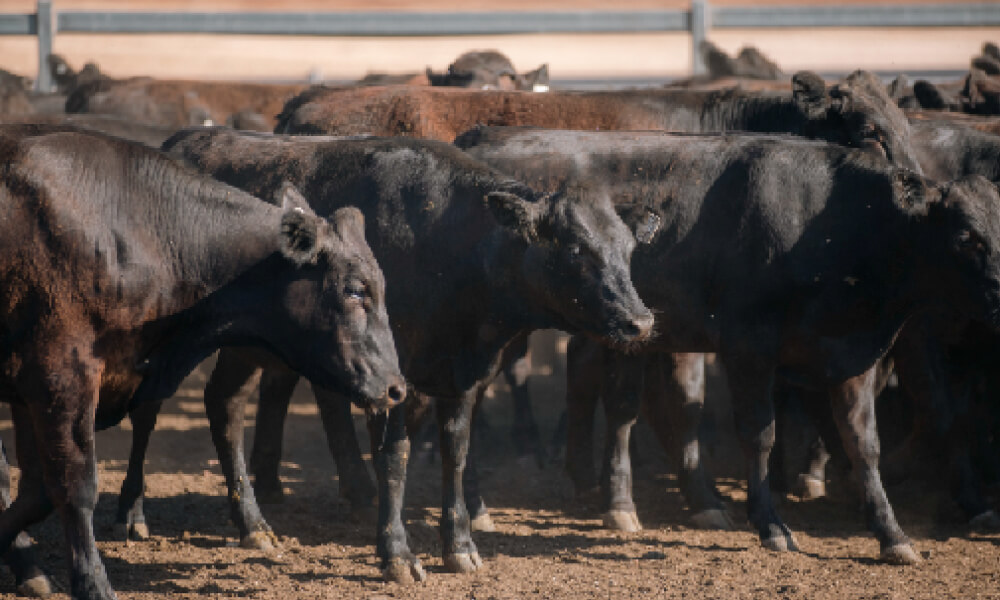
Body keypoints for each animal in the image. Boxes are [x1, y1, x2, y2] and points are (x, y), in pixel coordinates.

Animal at [0, 124, 405, 600]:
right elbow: (72, 487)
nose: (397, 388)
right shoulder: (62, 377)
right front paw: (92, 583)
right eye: (356, 290)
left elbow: (35, 490)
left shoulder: (34, 391)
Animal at [454, 125, 1000, 565]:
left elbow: (864, 444)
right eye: (968, 238)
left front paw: (893, 535)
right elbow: (760, 435)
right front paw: (771, 525)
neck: (832, 223)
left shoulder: (854, 357)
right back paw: (481, 509)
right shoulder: (748, 348)